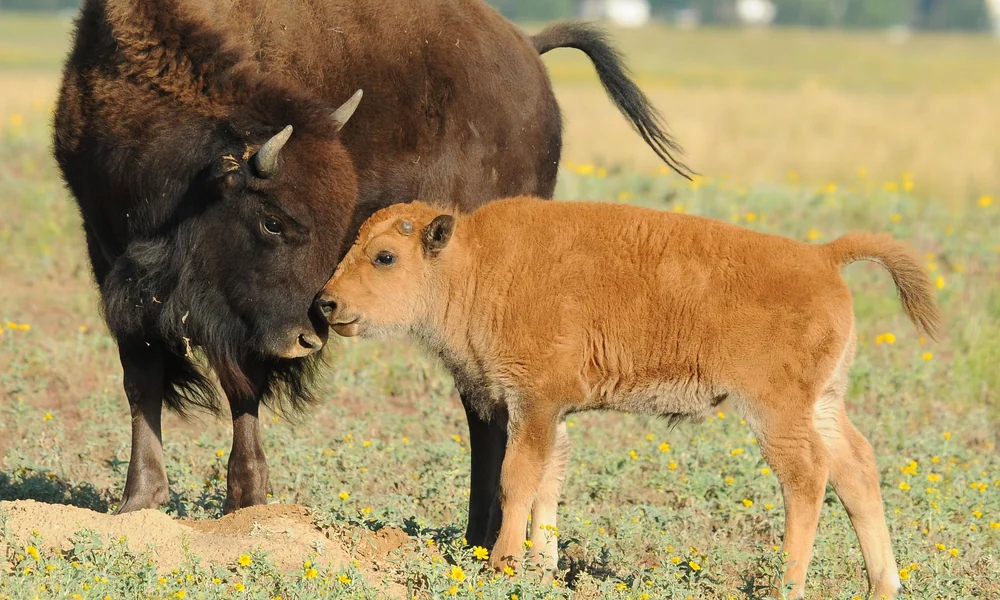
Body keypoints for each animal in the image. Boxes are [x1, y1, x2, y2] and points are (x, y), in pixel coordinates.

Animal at [52, 0, 690, 546]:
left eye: (334, 222)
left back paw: (480, 537)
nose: (309, 336)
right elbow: (142, 378)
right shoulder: (109, 259)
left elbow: (242, 387)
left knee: (487, 408)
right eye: (273, 221)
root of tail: (527, 50)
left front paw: (245, 502)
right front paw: (139, 502)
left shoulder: (241, 322)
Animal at [317, 197, 940, 598]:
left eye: (385, 256)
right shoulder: (551, 413)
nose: (325, 303)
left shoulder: (533, 404)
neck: (477, 264)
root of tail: (821, 256)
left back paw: (787, 586)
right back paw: (883, 586)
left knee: (808, 476)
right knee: (856, 469)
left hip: (776, 411)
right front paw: (542, 568)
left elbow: (517, 480)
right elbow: (549, 483)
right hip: (825, 402)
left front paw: (503, 566)